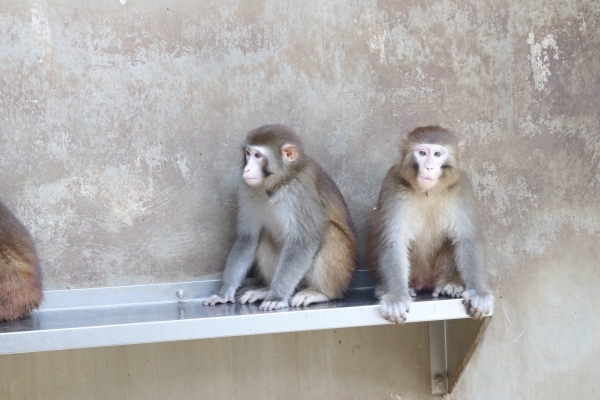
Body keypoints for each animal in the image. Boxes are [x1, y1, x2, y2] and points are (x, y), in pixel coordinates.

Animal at [204, 123, 358, 310]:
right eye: (248, 153)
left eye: (258, 156)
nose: (247, 169)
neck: (279, 183)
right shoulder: (247, 190)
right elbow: (248, 238)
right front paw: (224, 293)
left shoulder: (299, 192)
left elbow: (303, 240)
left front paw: (276, 297)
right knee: (264, 235)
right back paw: (266, 290)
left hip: (343, 273)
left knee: (328, 230)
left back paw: (321, 292)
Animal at [370, 126, 492, 324]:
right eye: (421, 153)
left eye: (437, 154)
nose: (429, 166)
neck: (429, 191)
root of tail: (423, 282)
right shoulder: (393, 184)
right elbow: (394, 240)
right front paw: (397, 297)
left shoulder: (461, 187)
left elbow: (466, 239)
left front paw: (477, 293)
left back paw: (450, 283)